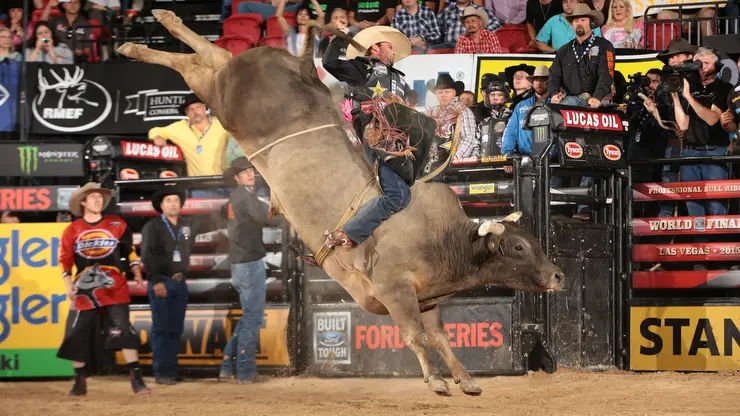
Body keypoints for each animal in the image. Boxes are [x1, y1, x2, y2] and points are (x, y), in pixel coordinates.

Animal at [117, 11, 564, 396]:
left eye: (534, 241)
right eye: (519, 247)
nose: (558, 276)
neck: (447, 240)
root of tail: (300, 69)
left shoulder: (427, 299)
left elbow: (440, 336)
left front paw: (465, 379)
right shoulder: (394, 289)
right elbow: (416, 335)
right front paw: (436, 381)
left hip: (227, 85)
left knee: (212, 56)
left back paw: (155, 28)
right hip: (226, 99)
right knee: (195, 65)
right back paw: (135, 45)